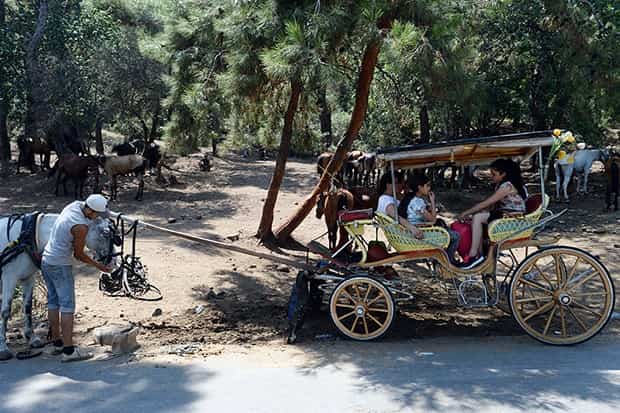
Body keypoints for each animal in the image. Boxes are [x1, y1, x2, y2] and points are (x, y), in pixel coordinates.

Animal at [0, 212, 117, 358]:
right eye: (106, 234)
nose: (114, 262)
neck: (29, 235)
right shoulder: (9, 278)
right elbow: (5, 311)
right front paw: (3, 348)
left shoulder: (28, 278)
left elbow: (27, 308)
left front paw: (32, 338)